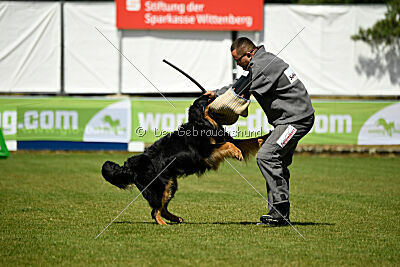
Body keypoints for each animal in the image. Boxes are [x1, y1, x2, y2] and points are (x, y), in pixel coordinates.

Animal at [101, 95, 268, 225]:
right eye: (209, 99)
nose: (217, 95)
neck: (203, 123)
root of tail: (130, 165)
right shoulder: (205, 152)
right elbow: (229, 144)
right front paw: (237, 152)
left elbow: (250, 140)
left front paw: (266, 136)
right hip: (160, 186)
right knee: (155, 211)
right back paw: (163, 224)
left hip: (170, 184)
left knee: (162, 208)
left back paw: (176, 219)